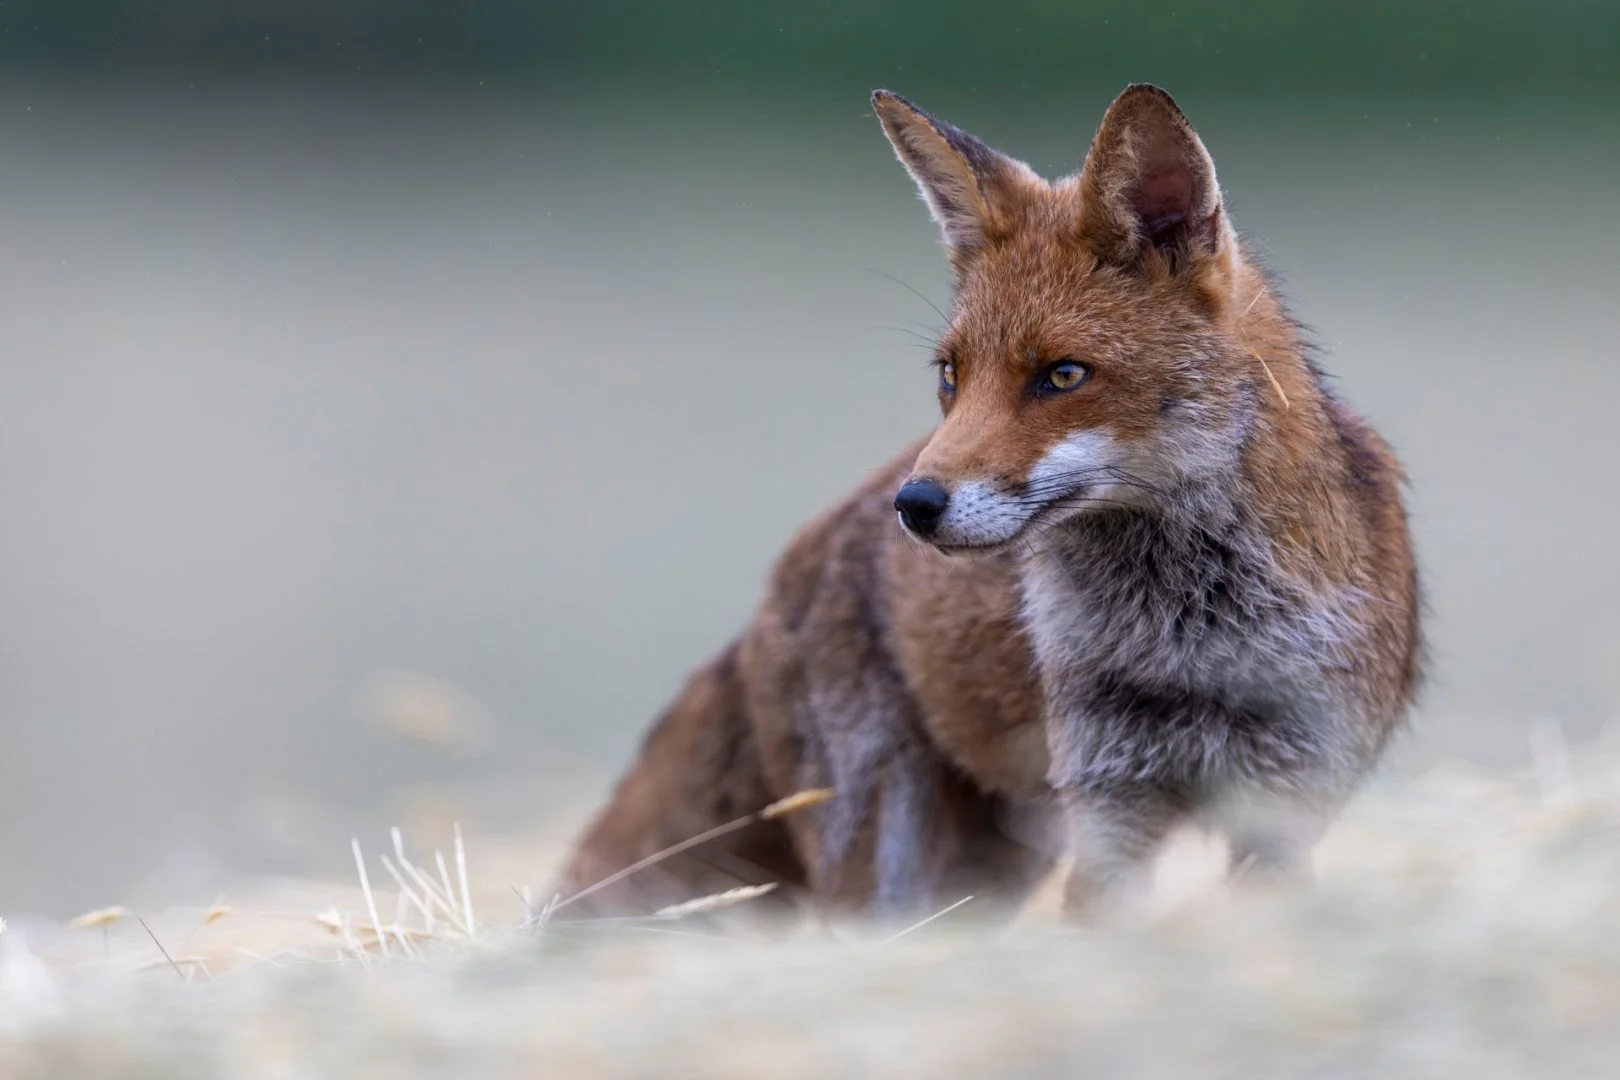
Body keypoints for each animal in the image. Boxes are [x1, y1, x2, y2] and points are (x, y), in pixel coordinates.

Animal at [552, 83, 1423, 922]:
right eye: (950, 374)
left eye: (1062, 375)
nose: (914, 505)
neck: (1194, 644)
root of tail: (788, 566)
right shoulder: (1110, 800)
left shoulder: (1286, 806)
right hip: (887, 849)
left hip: (994, 868)